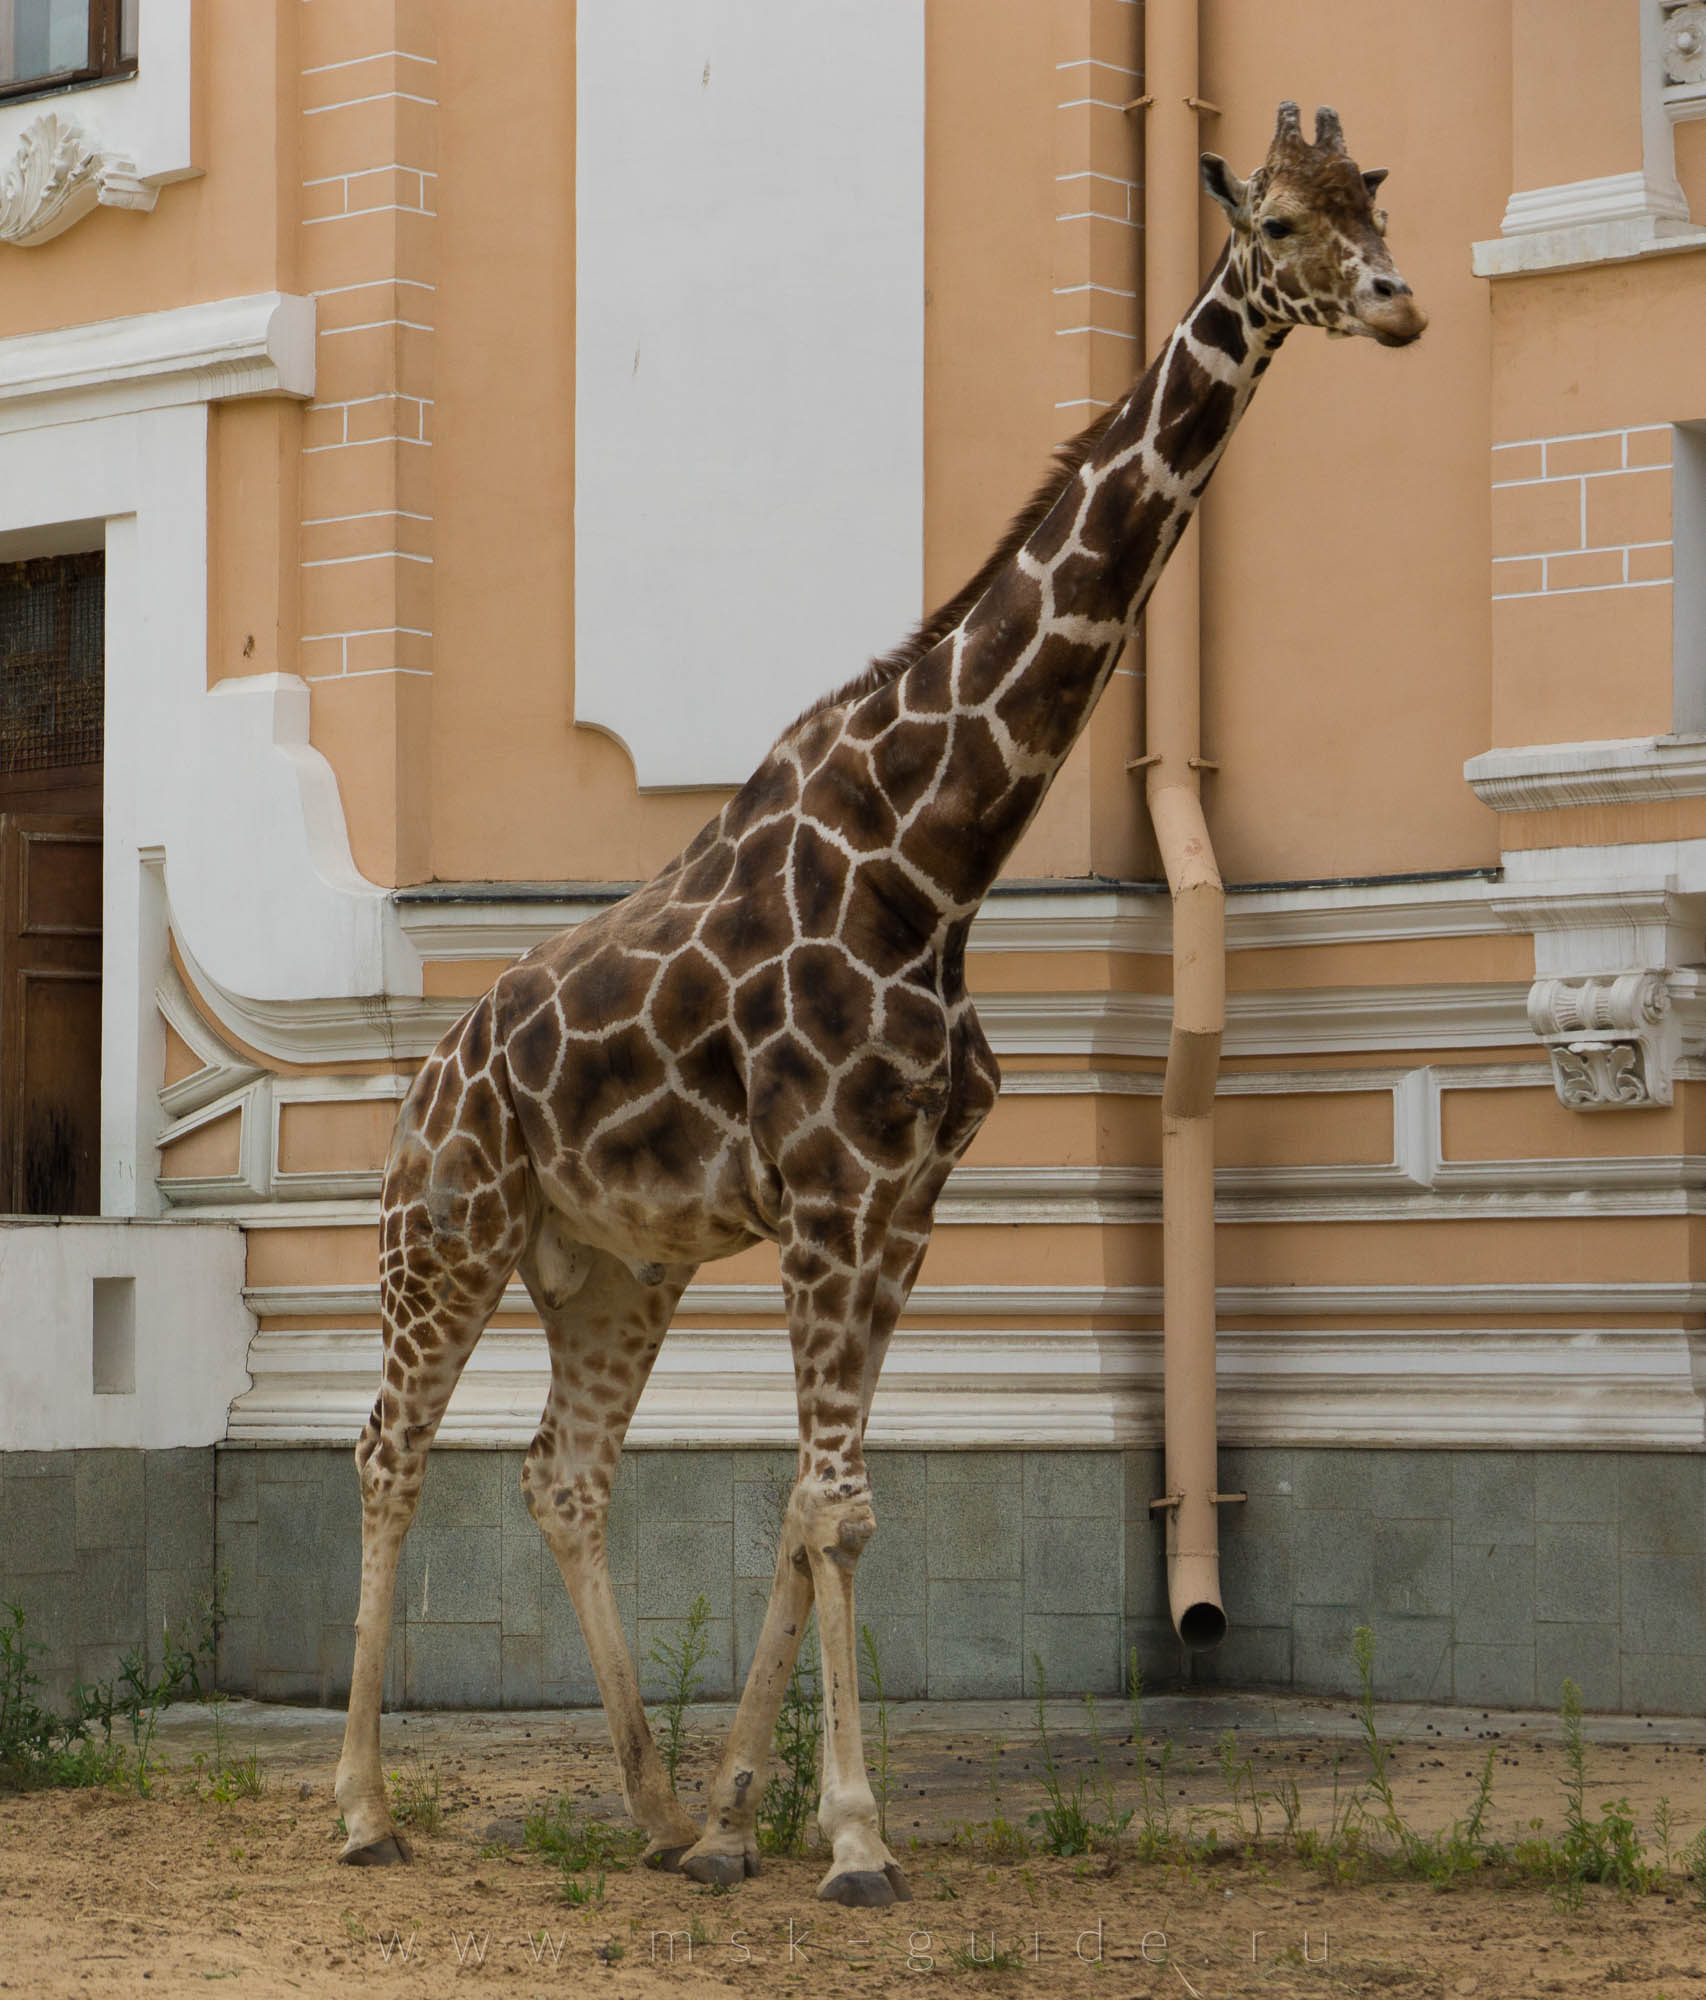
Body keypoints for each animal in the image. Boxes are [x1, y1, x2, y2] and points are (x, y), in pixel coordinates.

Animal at [332, 103, 1425, 1906]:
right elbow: (835, 1503)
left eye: (1375, 203)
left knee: (565, 1473)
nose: (1397, 306)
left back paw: (648, 1812)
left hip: (610, 1270)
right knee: (389, 1449)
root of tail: (422, 1084)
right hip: (445, 1235)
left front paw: (734, 1816)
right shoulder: (835, 1191)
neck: (938, 858)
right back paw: (358, 1807)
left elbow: (814, 1501)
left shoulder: (907, 1199)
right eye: (1275, 221)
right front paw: (848, 1837)